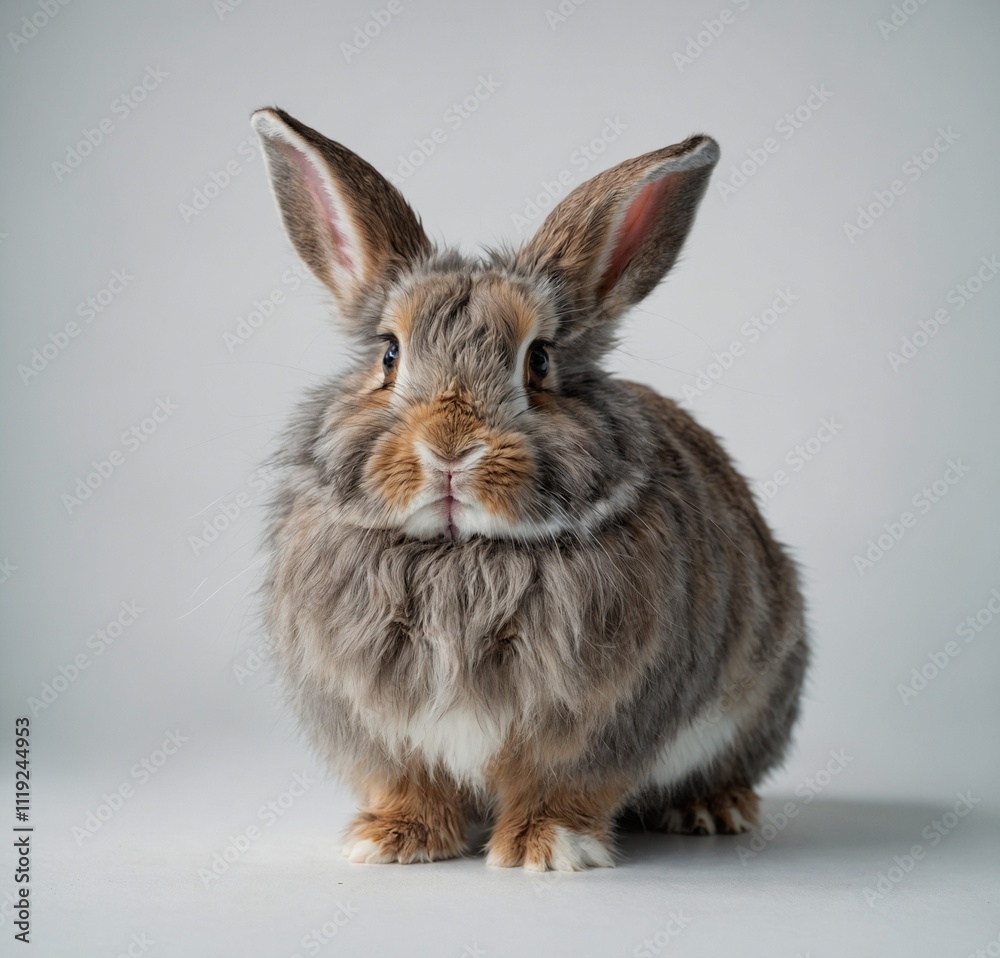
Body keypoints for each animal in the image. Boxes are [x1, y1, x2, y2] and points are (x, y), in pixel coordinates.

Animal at [251, 106, 808, 872]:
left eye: (538, 360)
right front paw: (392, 841)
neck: (461, 555)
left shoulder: (598, 721)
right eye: (389, 356)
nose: (450, 450)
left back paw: (712, 809)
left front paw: (548, 849)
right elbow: (409, 780)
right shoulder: (379, 728)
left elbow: (562, 782)